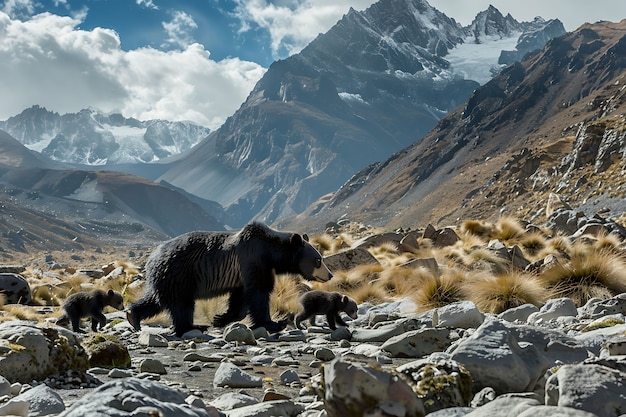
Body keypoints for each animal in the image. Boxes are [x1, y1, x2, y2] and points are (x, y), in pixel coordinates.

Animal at [125, 223, 332, 336]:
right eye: (318, 260)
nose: (329, 274)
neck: (271, 251)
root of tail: (152, 258)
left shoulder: (243, 272)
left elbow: (241, 296)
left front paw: (220, 318)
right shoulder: (253, 258)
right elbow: (259, 291)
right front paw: (274, 323)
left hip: (168, 277)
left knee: (156, 300)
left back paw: (133, 316)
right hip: (179, 273)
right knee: (181, 303)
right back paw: (193, 326)